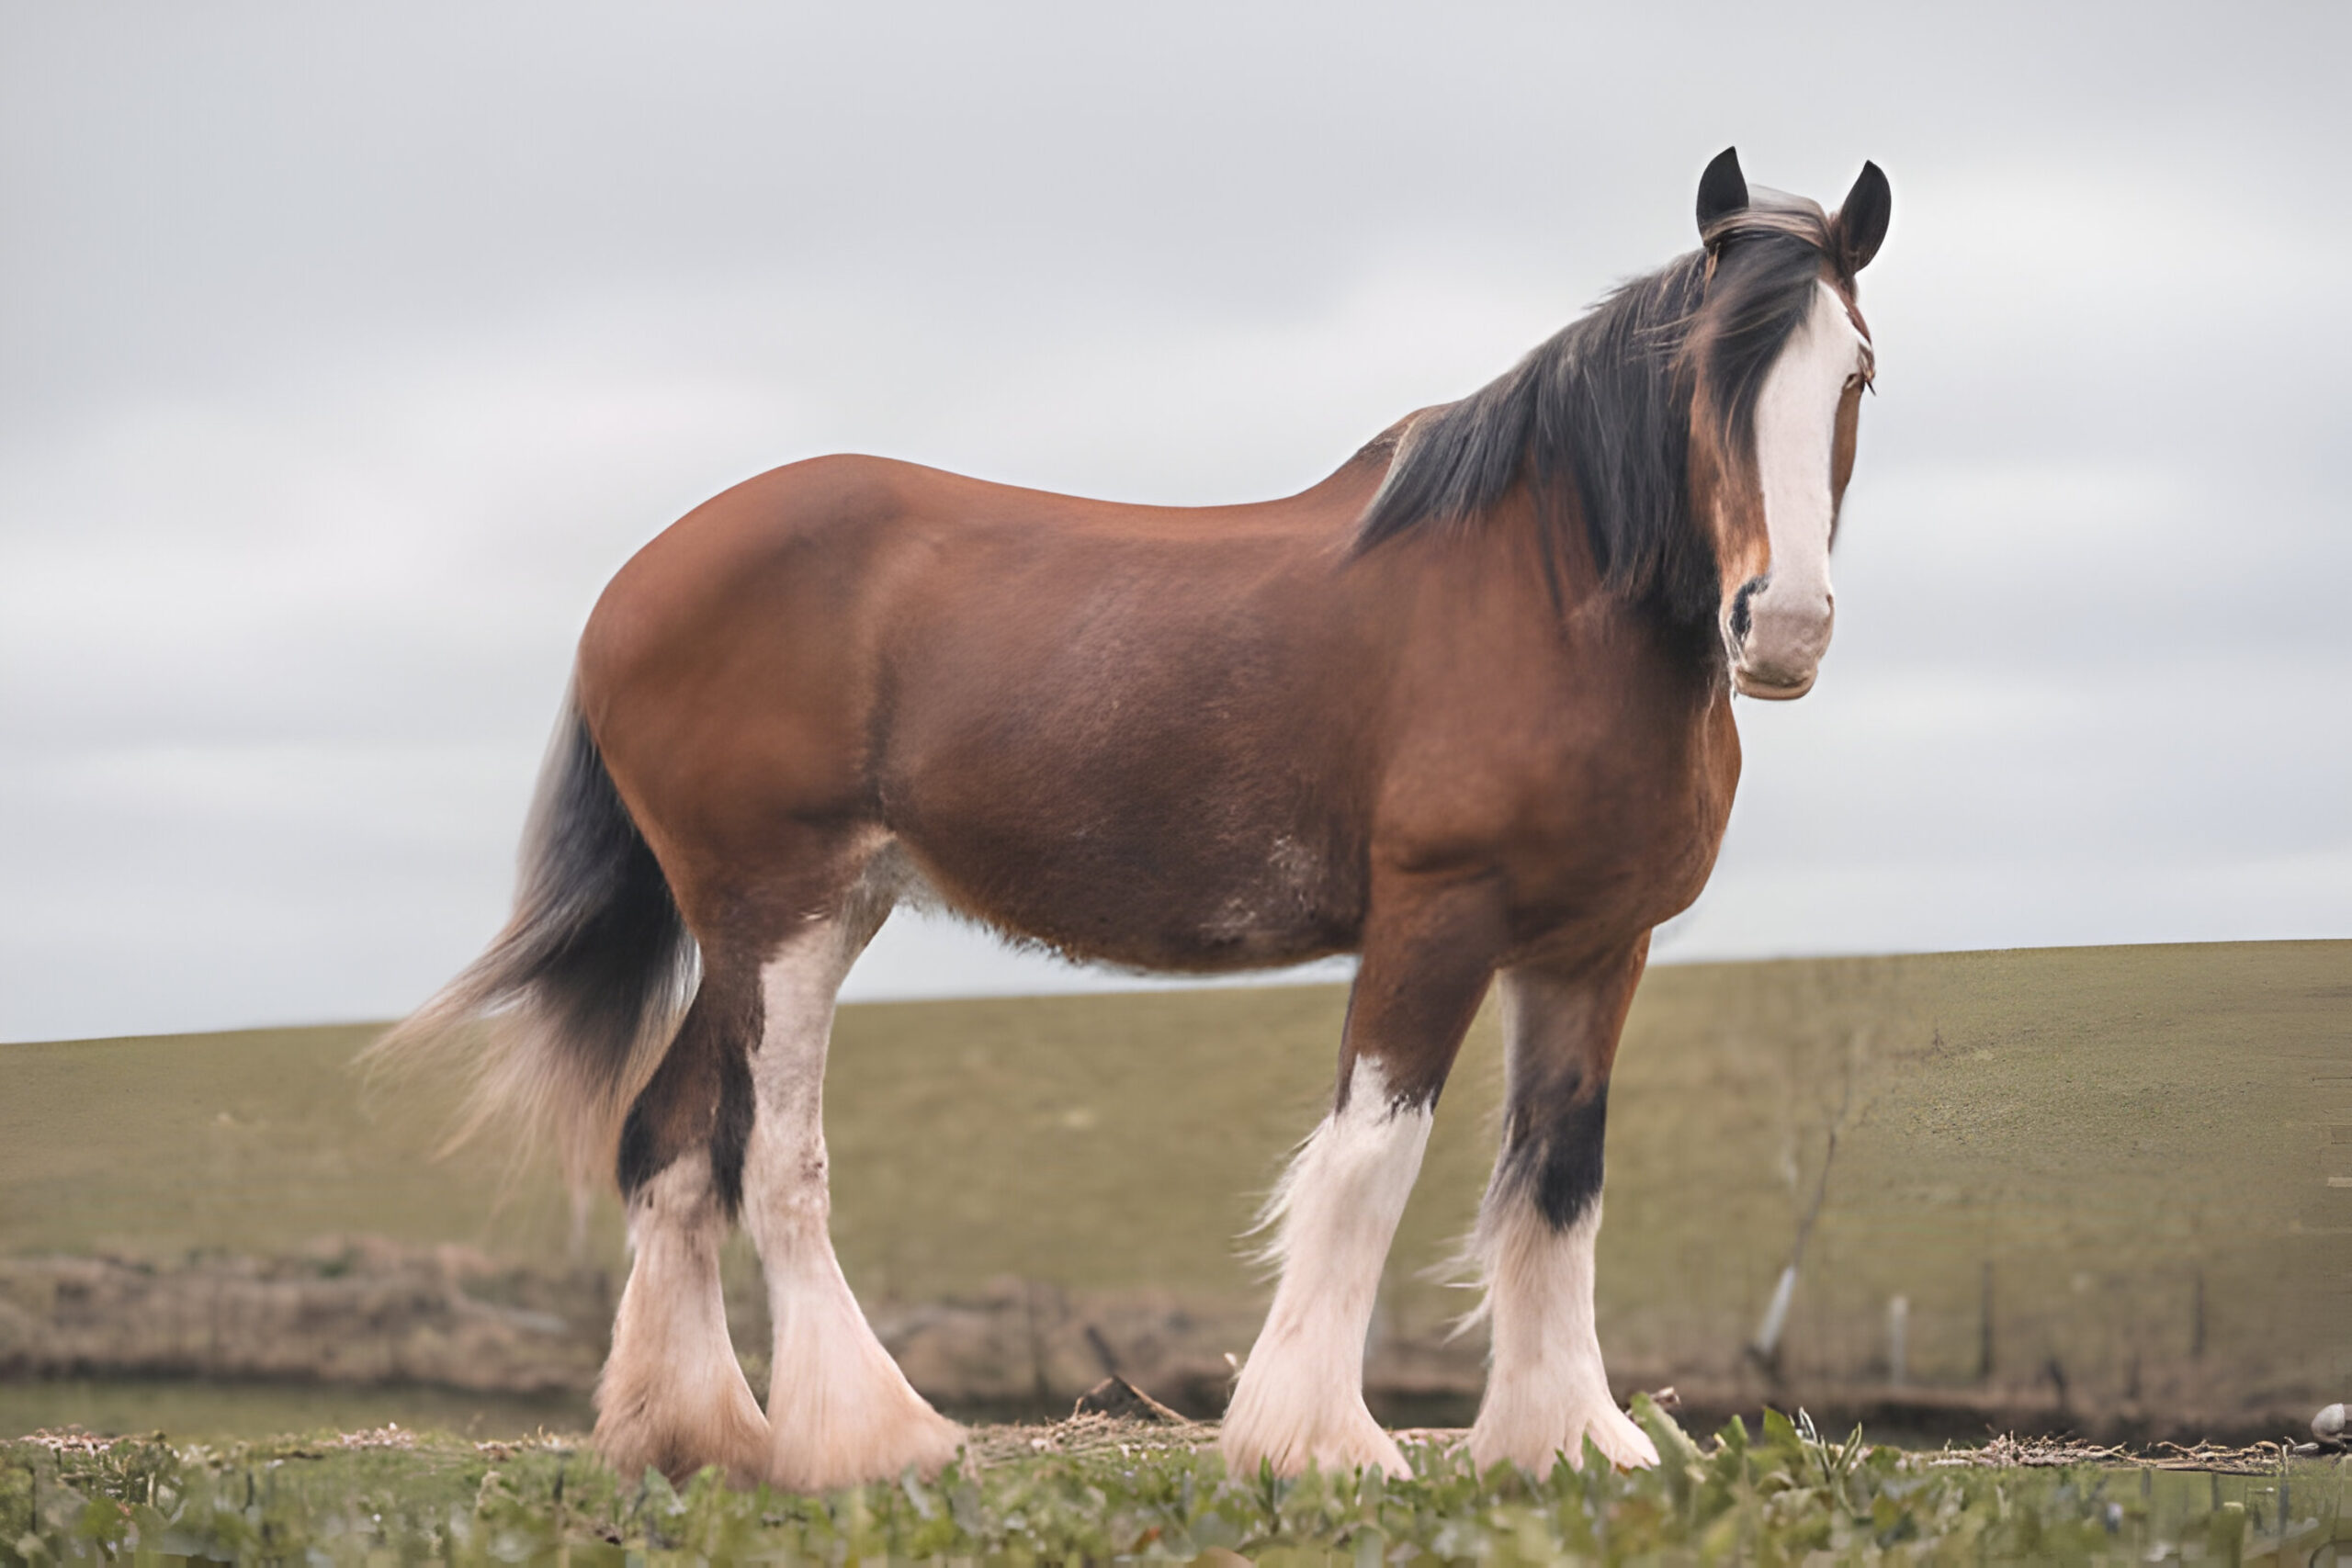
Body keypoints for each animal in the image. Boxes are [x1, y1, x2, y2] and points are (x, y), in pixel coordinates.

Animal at [380, 150, 1891, 1495]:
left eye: (1854, 374)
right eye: (1706, 370)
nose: (1783, 624)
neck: (1543, 595)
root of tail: (633, 582)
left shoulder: (1592, 947)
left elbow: (1559, 1179)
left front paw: (1567, 1436)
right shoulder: (1435, 917)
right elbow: (1368, 1165)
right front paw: (1318, 1443)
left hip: (785, 918)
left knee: (671, 1146)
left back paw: (696, 1436)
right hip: (782, 912)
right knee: (773, 1160)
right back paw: (873, 1437)